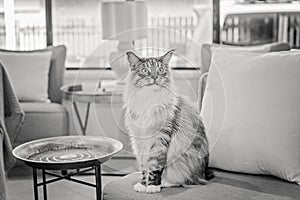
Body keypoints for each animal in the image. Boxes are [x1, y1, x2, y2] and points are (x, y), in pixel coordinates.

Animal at [122, 50, 211, 194]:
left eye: (160, 70)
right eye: (145, 70)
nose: (154, 77)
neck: (149, 100)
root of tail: (203, 174)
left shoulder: (160, 140)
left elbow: (154, 167)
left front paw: (152, 186)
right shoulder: (140, 142)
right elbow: (144, 167)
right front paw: (143, 184)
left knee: (186, 181)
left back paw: (165, 183)